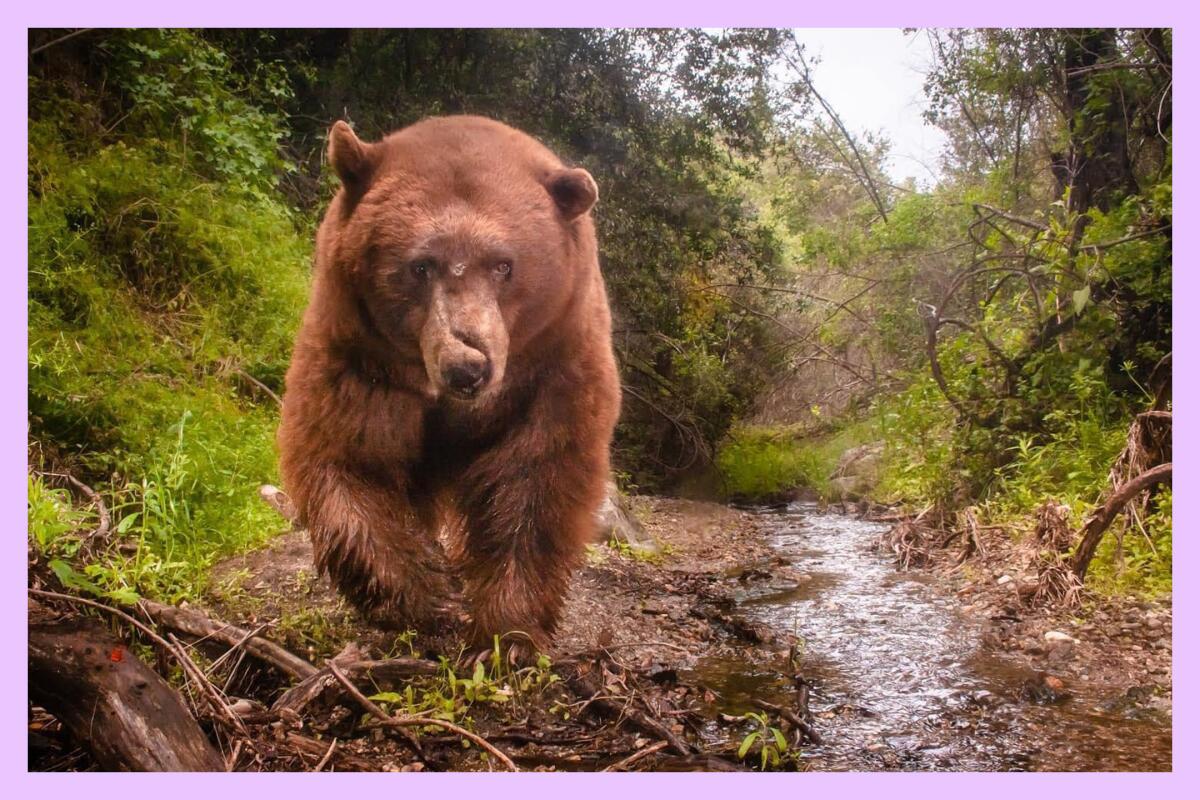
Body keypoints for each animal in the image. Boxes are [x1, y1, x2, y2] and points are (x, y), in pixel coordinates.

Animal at [277, 113, 624, 662]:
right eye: (420, 265)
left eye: (504, 265)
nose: (467, 367)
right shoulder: (360, 356)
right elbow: (351, 458)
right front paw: (421, 597)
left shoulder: (552, 365)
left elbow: (536, 479)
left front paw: (507, 633)